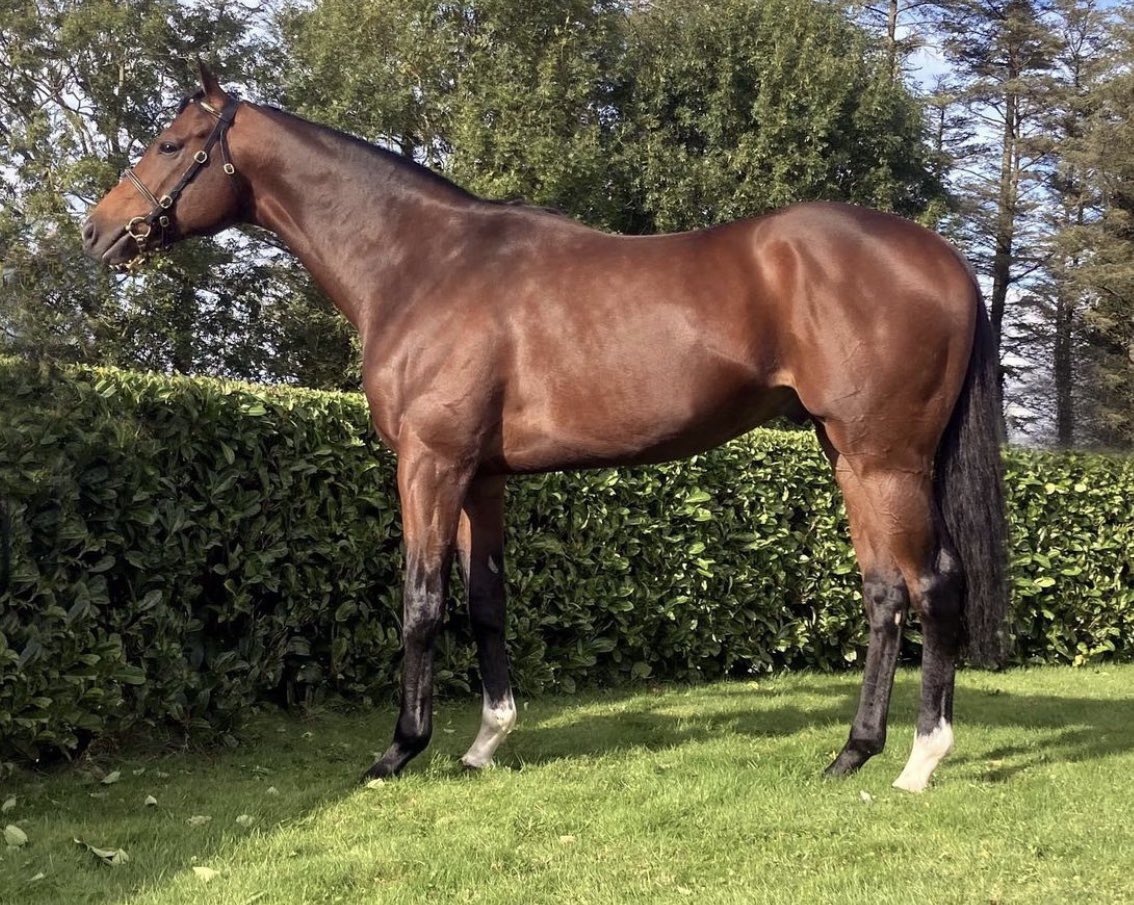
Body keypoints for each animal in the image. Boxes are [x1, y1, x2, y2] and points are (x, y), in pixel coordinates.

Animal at [83, 64, 1006, 792]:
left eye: (170, 142)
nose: (97, 231)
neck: (422, 264)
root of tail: (945, 258)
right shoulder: (480, 478)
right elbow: (486, 602)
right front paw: (485, 742)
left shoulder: (429, 465)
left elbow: (422, 602)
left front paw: (399, 750)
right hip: (848, 456)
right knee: (886, 593)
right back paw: (852, 752)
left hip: (886, 459)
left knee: (933, 586)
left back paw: (919, 760)